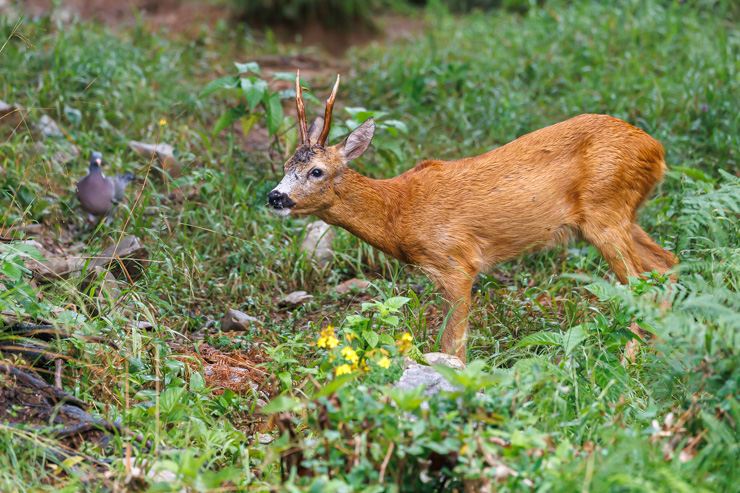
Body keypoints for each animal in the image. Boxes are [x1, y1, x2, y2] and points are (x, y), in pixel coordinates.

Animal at [268, 74, 680, 366]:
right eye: (286, 165)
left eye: (317, 171)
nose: (275, 196)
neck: (399, 211)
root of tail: (656, 149)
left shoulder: (457, 262)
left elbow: (455, 346)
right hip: (619, 213)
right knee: (666, 264)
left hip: (605, 209)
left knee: (641, 283)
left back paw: (630, 360)